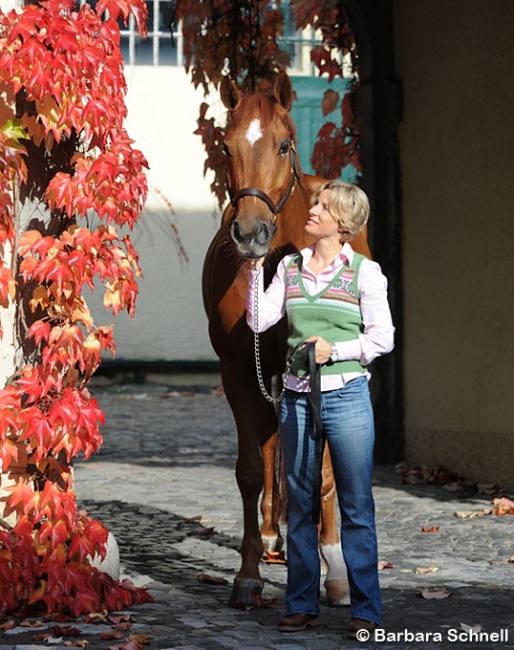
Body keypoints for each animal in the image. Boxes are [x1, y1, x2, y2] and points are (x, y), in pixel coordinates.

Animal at [200, 71, 368, 608]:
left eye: (283, 143)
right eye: (226, 145)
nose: (250, 233)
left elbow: (329, 468)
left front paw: (334, 570)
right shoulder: (237, 369)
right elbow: (252, 467)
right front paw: (249, 574)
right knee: (275, 439)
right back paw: (276, 537)